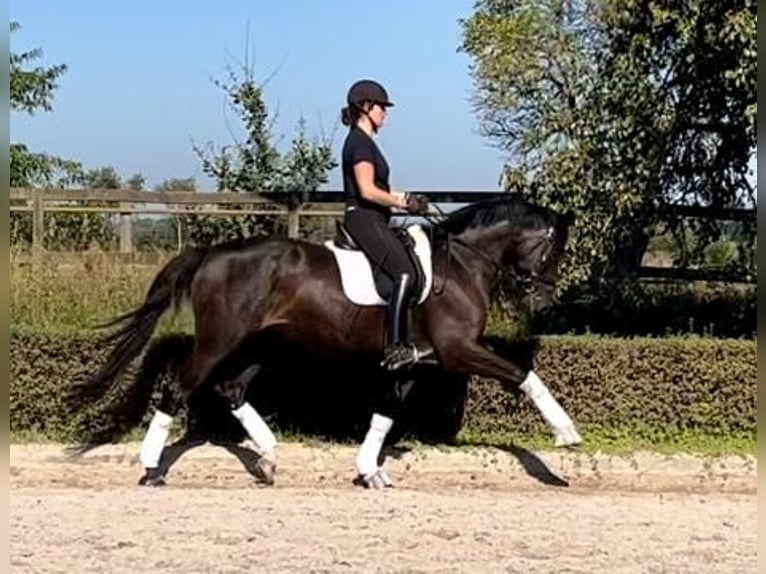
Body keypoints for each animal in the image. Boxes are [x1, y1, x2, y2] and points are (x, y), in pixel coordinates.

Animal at [72, 197, 584, 490]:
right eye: (552, 250)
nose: (542, 297)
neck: (460, 264)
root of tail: (212, 254)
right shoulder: (456, 350)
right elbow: (523, 374)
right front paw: (566, 435)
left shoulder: (413, 363)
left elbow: (385, 413)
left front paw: (369, 470)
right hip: (219, 341)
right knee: (178, 387)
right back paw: (151, 468)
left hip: (260, 345)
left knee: (231, 389)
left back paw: (268, 458)